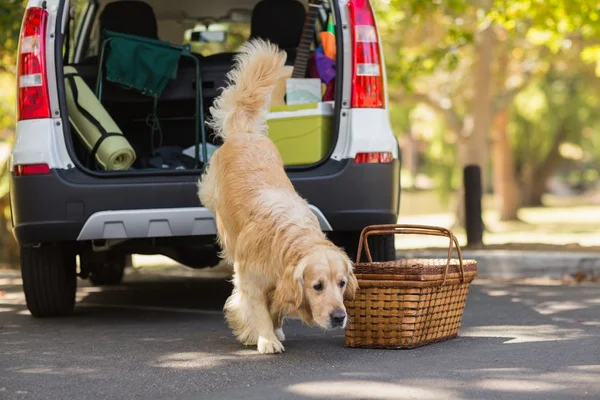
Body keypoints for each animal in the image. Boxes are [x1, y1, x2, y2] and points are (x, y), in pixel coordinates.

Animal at [198, 39, 356, 354]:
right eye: (317, 286)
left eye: (342, 283)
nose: (339, 317)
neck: (288, 241)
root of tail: (246, 131)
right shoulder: (250, 279)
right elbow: (256, 308)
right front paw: (264, 338)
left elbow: (278, 305)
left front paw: (276, 328)